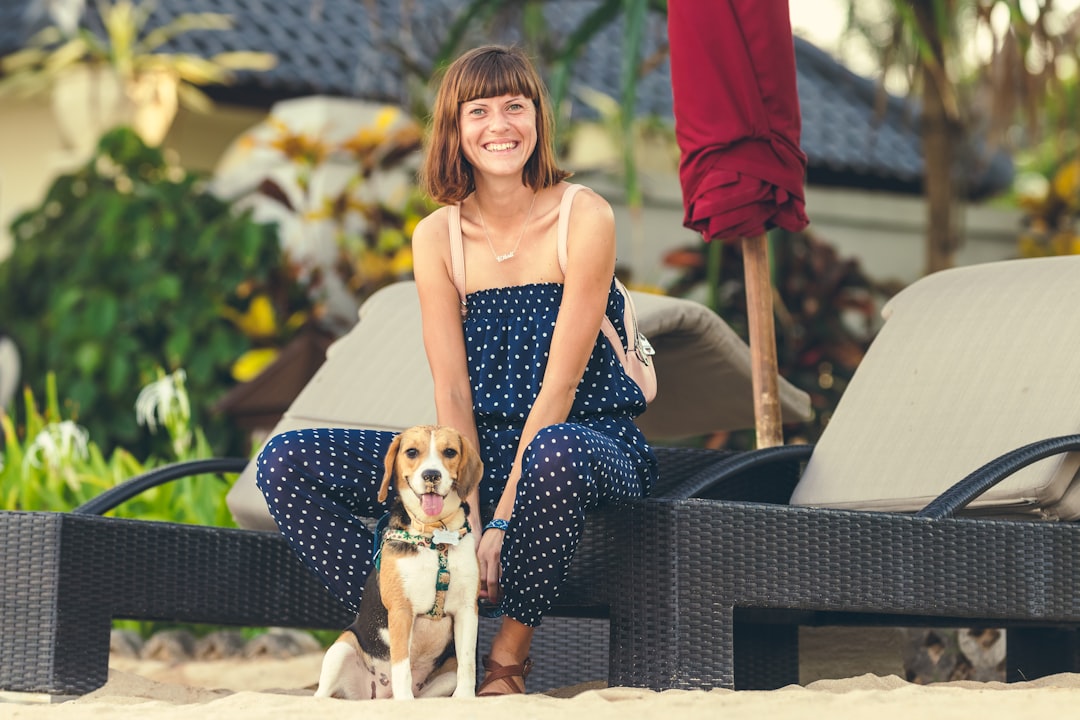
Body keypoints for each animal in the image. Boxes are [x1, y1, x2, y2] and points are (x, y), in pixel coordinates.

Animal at [313, 425, 481, 699]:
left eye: (450, 452)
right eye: (411, 452)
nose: (431, 475)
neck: (434, 535)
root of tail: (378, 696)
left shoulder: (467, 609)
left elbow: (467, 663)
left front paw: (465, 699)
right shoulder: (401, 610)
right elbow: (401, 665)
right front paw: (404, 702)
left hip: (443, 679)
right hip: (341, 649)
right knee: (321, 695)